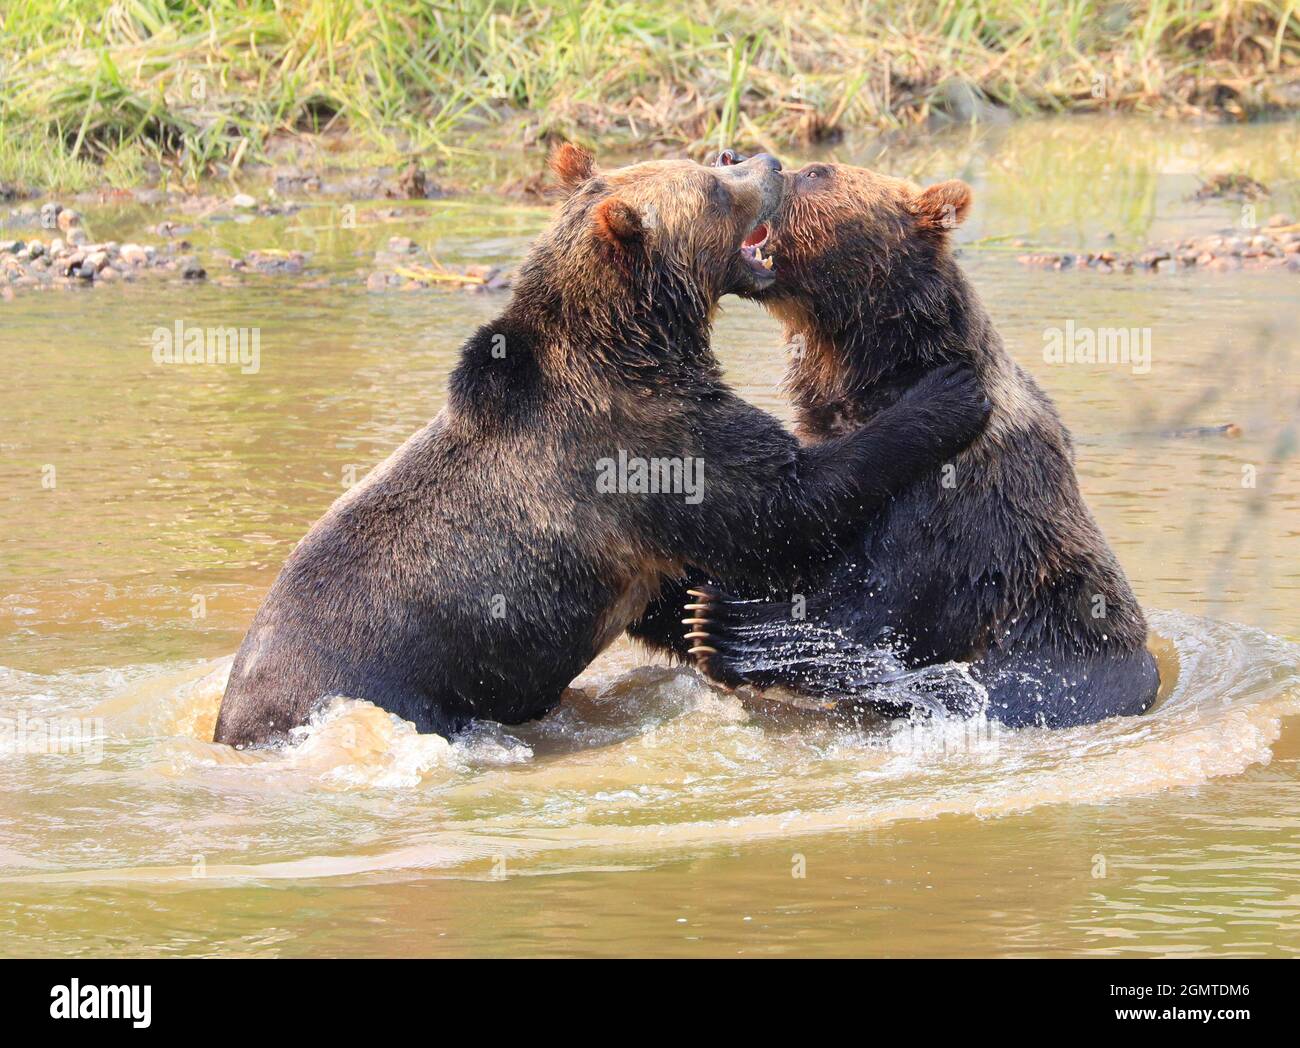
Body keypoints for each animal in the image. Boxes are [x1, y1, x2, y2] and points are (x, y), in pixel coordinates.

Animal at [212, 146, 991, 747]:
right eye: (713, 188)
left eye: (707, 161)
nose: (764, 160)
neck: (638, 343)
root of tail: (233, 726)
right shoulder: (648, 445)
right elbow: (786, 504)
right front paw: (949, 394)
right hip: (392, 685)